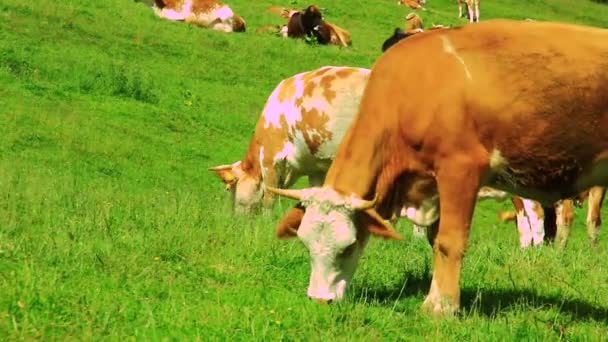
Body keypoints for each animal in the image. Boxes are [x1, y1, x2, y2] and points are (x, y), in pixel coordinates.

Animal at [268, 18, 608, 316]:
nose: (319, 300)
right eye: (306, 244)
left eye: (348, 247)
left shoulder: (460, 171)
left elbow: (449, 242)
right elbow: (434, 242)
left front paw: (442, 307)